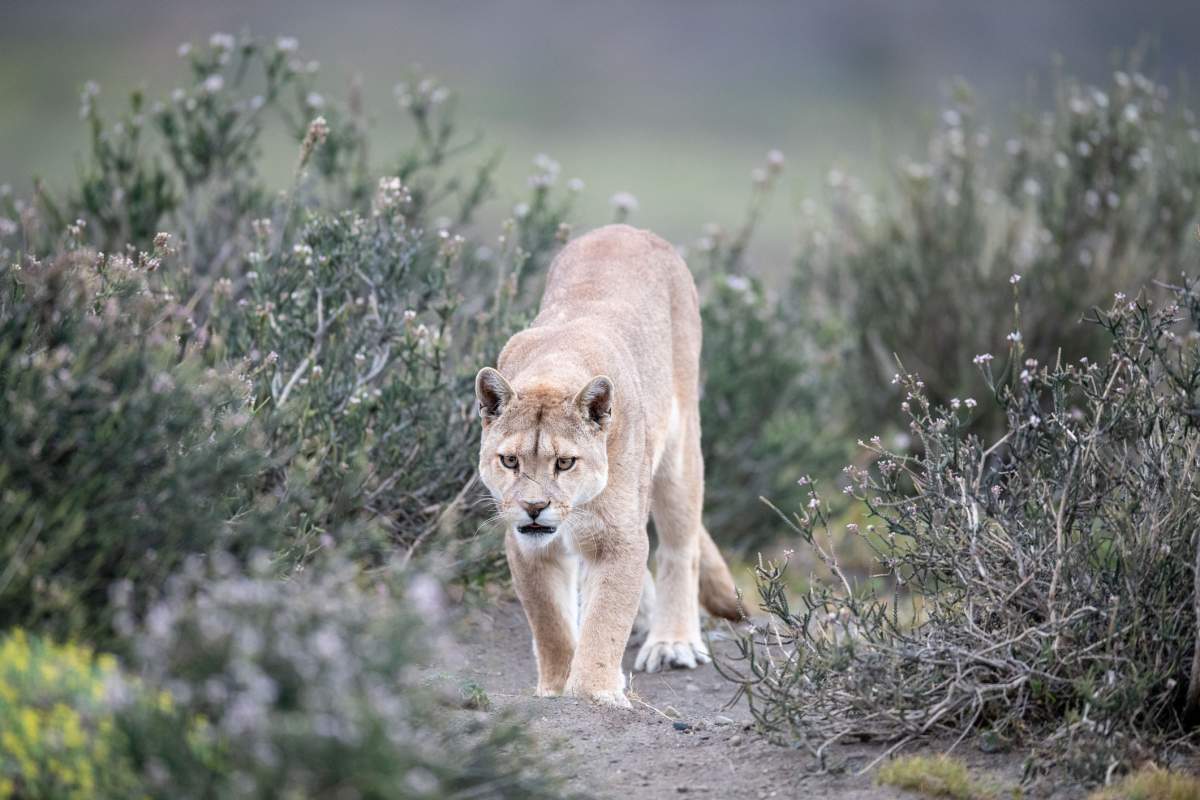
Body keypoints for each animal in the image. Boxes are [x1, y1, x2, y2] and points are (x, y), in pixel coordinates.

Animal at [474, 223, 742, 708]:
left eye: (565, 462)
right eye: (510, 460)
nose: (535, 507)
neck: (554, 367)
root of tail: (625, 228)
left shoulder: (620, 538)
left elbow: (606, 617)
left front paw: (593, 692)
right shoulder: (525, 546)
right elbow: (551, 623)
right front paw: (555, 688)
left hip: (679, 454)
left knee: (680, 547)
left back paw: (672, 642)